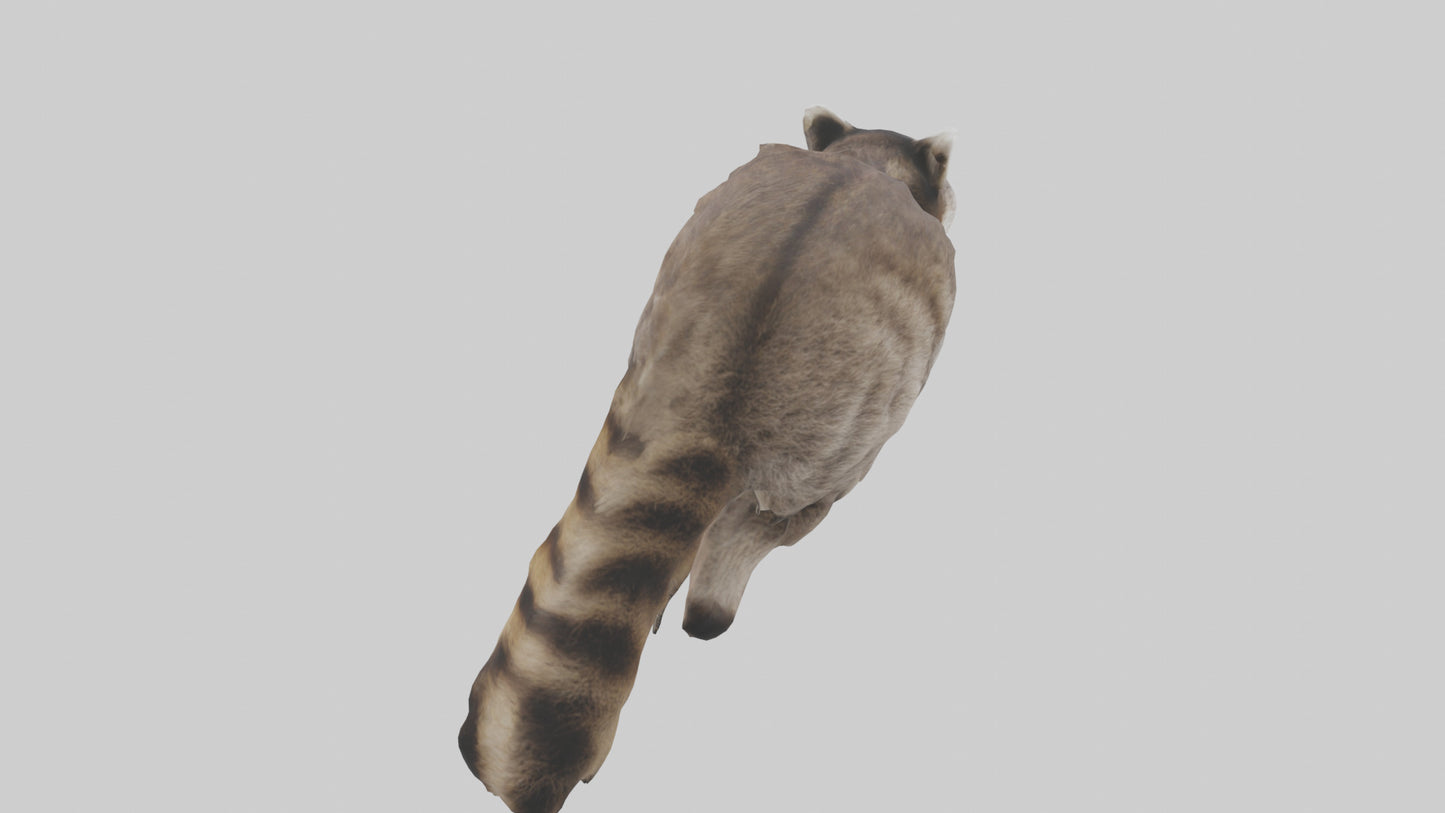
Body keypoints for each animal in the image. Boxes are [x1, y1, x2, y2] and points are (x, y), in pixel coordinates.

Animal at [460, 107, 956, 813]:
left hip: (660, 318)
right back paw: (716, 596)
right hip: (843, 407)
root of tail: (722, 369)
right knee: (780, 515)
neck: (860, 162)